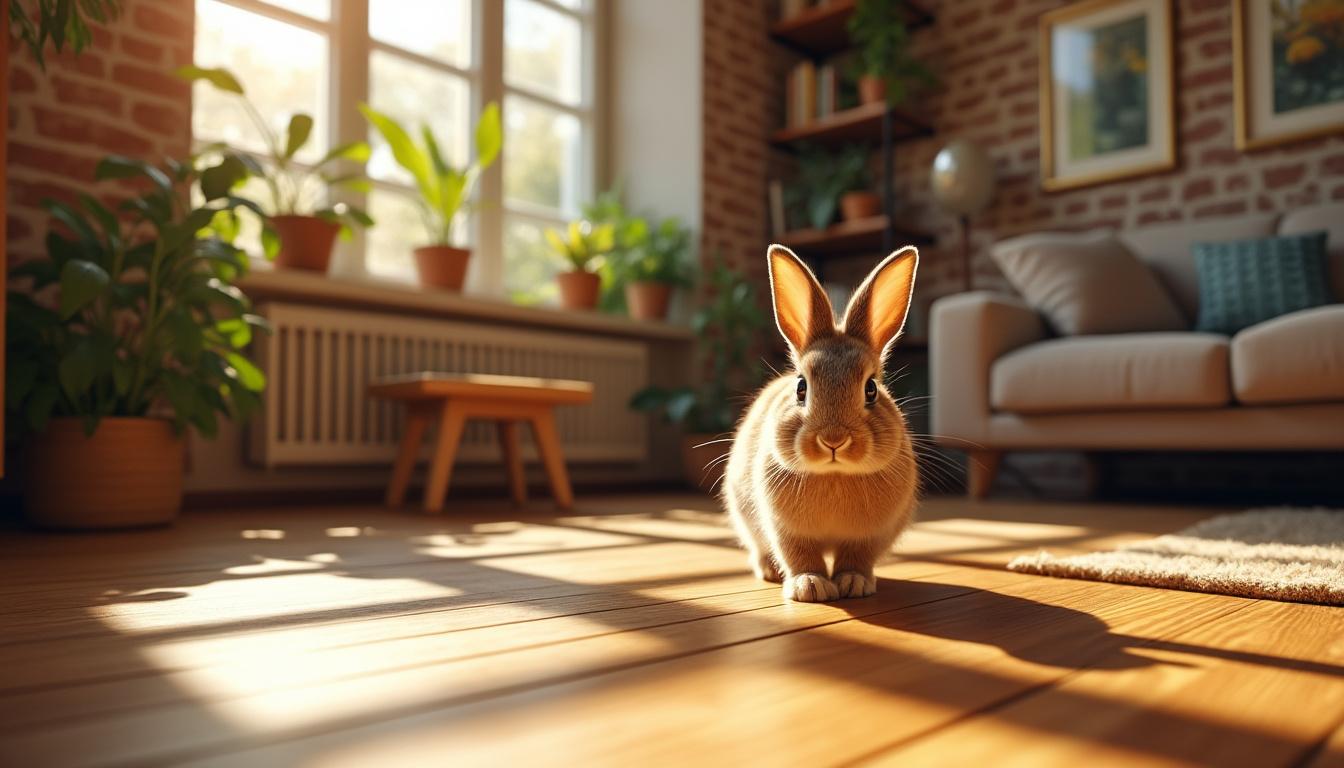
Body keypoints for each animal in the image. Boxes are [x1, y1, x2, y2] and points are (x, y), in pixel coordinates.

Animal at [722, 244, 920, 602]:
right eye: (801, 387)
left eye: (871, 389)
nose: (833, 440)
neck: (835, 474)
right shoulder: (786, 530)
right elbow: (800, 556)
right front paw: (810, 587)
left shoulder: (867, 537)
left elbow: (856, 558)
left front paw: (853, 583)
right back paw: (770, 571)